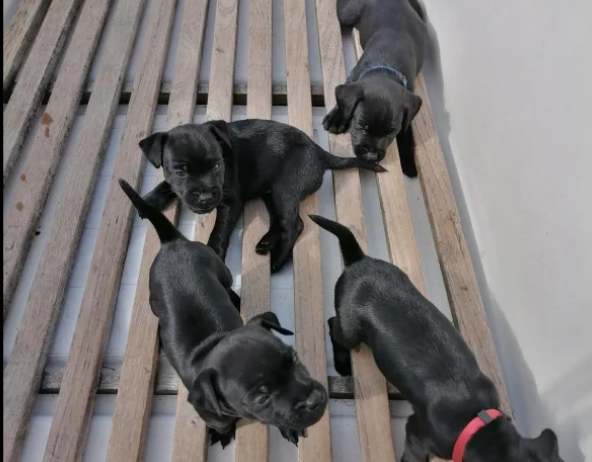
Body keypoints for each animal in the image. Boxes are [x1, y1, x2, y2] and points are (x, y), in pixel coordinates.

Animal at [115, 179, 328, 446]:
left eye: (295, 359)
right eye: (262, 398)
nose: (315, 401)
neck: (211, 345)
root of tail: (173, 241)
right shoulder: (208, 410)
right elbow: (221, 422)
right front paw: (222, 432)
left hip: (219, 268)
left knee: (226, 284)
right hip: (155, 296)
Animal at [137, 119, 384, 272]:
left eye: (217, 165)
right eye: (180, 171)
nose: (206, 197)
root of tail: (319, 151)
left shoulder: (231, 201)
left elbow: (219, 232)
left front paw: (213, 253)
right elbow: (166, 184)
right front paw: (148, 200)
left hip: (285, 187)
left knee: (293, 224)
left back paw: (279, 260)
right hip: (271, 193)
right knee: (282, 220)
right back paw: (267, 243)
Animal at [310, 214, 564, 462]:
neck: (478, 422)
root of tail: (359, 260)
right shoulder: (417, 433)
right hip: (350, 330)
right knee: (333, 324)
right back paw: (343, 364)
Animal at [322, 0, 428, 177]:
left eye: (390, 133)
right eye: (362, 127)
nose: (371, 157)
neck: (386, 67)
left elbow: (406, 134)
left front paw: (408, 162)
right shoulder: (353, 78)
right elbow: (343, 102)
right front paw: (336, 118)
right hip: (346, 14)